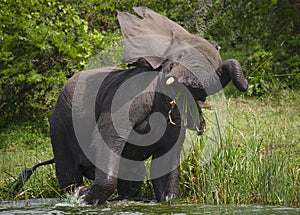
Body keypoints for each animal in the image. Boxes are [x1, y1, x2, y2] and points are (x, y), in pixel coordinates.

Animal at [12, 6, 247, 205]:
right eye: (180, 56)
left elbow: (166, 161)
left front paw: (168, 201)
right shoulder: (126, 97)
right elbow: (106, 139)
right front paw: (84, 196)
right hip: (59, 123)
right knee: (69, 172)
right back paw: (73, 193)